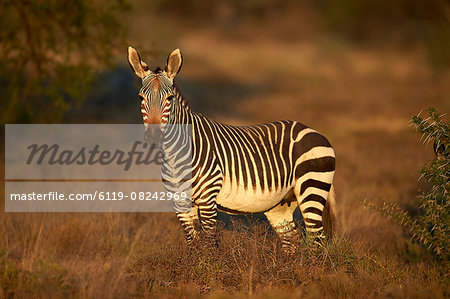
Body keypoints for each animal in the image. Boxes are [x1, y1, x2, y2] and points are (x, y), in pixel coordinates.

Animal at [128, 46, 336, 253]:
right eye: (140, 98)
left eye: (169, 98)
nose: (154, 137)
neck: (175, 155)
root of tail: (313, 130)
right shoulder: (180, 202)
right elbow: (194, 245)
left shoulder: (208, 199)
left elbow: (209, 246)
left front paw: (209, 262)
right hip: (281, 204)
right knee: (292, 241)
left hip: (312, 188)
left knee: (317, 240)